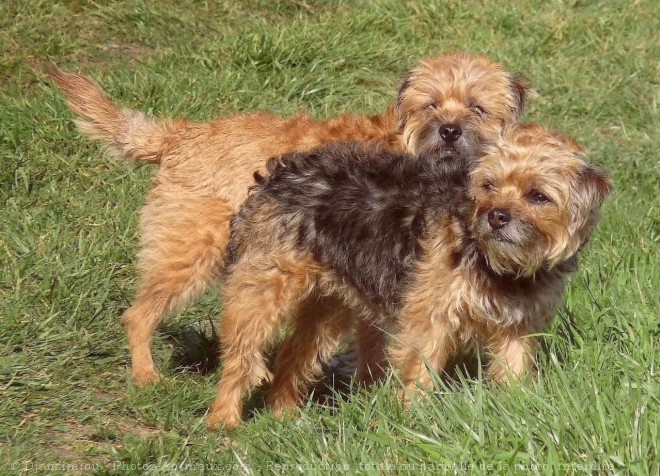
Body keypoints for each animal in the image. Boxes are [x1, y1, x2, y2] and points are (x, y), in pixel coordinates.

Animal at [50, 53, 524, 386]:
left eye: (478, 108)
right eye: (430, 106)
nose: (449, 130)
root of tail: (182, 134)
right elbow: (375, 341)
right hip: (192, 252)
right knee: (139, 314)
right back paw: (146, 375)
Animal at [208, 123, 612, 428]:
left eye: (538, 196)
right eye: (488, 186)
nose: (496, 215)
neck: (501, 266)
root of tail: (278, 172)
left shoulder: (519, 326)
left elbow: (513, 369)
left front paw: (516, 410)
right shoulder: (430, 318)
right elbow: (420, 370)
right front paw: (413, 419)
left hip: (330, 306)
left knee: (294, 354)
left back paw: (283, 414)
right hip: (261, 292)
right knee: (241, 358)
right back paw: (223, 421)